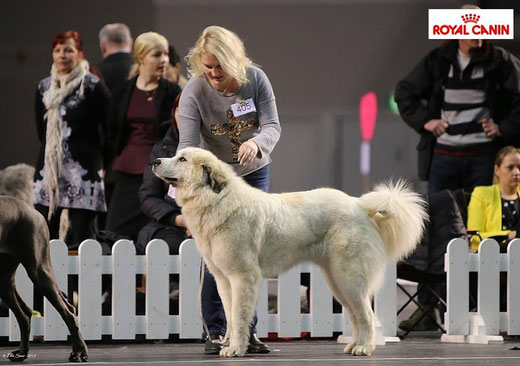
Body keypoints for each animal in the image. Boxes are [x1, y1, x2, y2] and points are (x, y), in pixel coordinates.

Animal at [0, 196, 87, 362]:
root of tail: (32, 210)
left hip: (39, 270)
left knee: (68, 312)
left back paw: (79, 351)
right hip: (4, 279)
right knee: (25, 314)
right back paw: (22, 352)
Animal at [151, 148, 426, 358]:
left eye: (182, 159)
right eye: (176, 155)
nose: (155, 161)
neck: (216, 200)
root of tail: (360, 206)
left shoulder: (243, 277)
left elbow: (239, 316)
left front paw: (236, 349)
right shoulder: (223, 280)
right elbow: (229, 314)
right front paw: (229, 345)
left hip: (348, 277)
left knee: (366, 314)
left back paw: (364, 348)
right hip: (337, 281)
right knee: (356, 315)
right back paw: (354, 345)